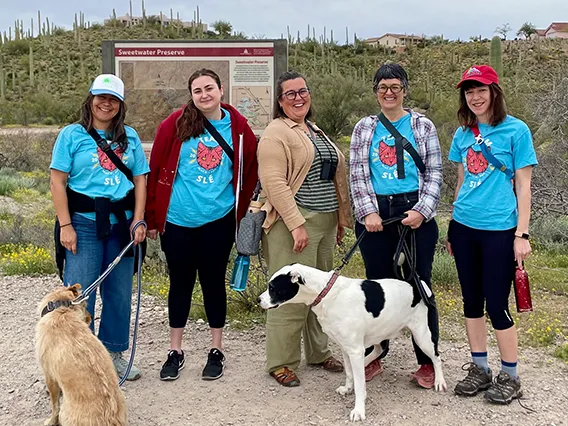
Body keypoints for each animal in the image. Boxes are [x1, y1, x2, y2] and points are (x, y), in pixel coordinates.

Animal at [36, 284, 127, 424]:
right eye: (84, 305)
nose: (90, 318)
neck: (61, 310)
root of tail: (110, 419)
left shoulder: (49, 376)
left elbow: (55, 405)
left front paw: (51, 421)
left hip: (65, 412)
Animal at [260, 264, 446, 422]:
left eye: (272, 288)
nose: (258, 300)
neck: (326, 293)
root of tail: (416, 286)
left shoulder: (355, 350)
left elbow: (359, 385)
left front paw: (358, 410)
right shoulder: (346, 347)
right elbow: (350, 374)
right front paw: (348, 388)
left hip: (421, 336)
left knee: (436, 357)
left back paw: (439, 382)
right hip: (380, 333)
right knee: (379, 350)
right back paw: (365, 364)